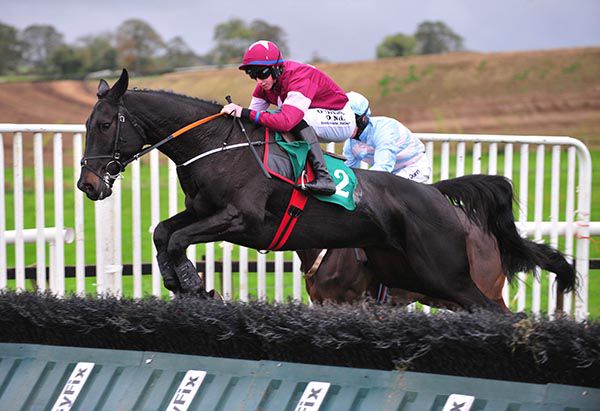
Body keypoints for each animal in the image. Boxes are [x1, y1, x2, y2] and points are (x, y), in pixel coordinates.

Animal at [77, 69, 576, 311]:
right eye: (86, 125)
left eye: (104, 124)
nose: (87, 184)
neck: (216, 145)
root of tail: (438, 198)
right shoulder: (203, 211)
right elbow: (164, 232)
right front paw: (178, 282)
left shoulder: (241, 220)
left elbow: (179, 237)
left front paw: (195, 287)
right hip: (416, 277)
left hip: (448, 276)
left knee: (498, 313)